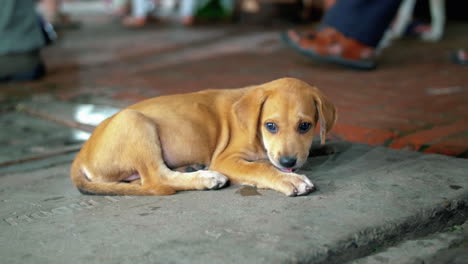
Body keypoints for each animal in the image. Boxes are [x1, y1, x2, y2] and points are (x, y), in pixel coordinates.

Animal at [70, 77, 336, 195]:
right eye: (270, 126)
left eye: (305, 126)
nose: (288, 162)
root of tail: (80, 156)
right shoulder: (225, 159)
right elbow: (260, 168)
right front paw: (288, 179)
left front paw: (322, 146)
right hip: (134, 122)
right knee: (156, 178)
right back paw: (206, 178)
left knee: (142, 180)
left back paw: (191, 169)